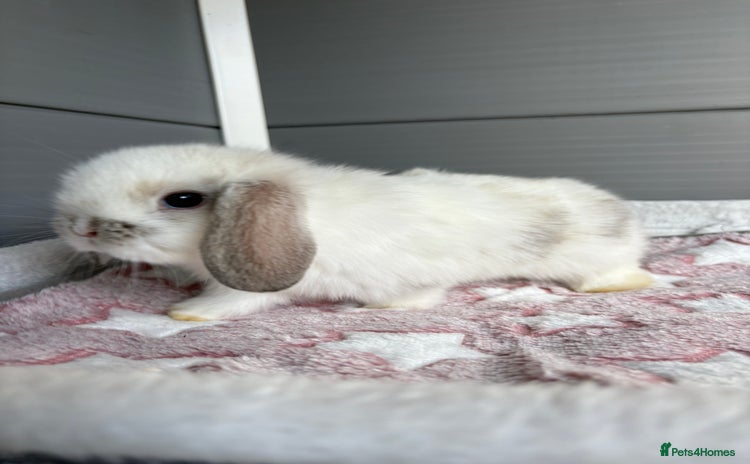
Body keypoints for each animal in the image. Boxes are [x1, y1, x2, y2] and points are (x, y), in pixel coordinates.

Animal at [53, 144, 652, 321]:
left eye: (182, 199)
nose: (77, 227)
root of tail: (624, 215)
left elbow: (231, 301)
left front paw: (186, 314)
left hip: (595, 260)